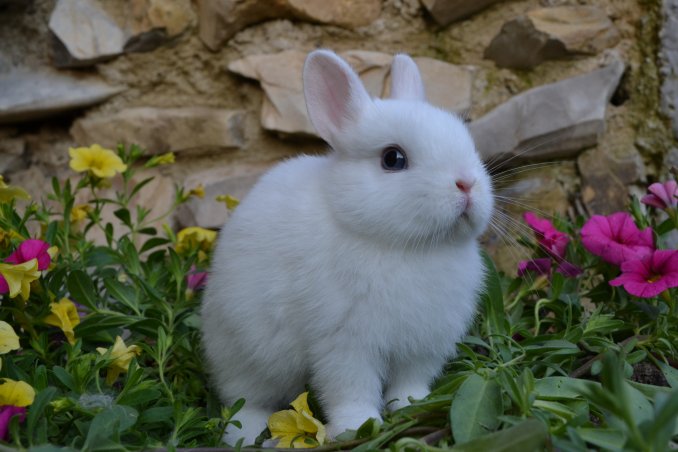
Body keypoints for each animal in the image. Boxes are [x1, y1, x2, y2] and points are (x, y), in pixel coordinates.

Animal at [200, 49, 494, 446]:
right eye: (393, 159)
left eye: (469, 145)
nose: (466, 184)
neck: (406, 247)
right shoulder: (344, 344)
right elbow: (349, 390)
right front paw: (358, 426)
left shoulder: (423, 346)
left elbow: (409, 383)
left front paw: (413, 407)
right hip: (245, 354)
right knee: (242, 401)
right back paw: (245, 436)